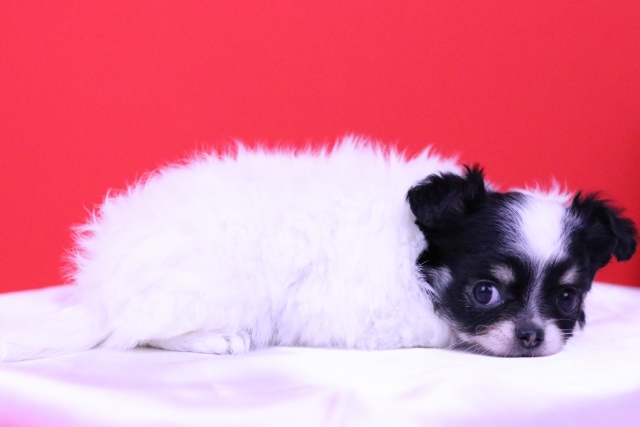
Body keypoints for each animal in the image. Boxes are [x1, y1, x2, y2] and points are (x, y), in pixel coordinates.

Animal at [0, 137, 636, 361]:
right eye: (486, 292)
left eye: (567, 298)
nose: (531, 337)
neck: (418, 257)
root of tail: (102, 292)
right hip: (217, 290)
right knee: (138, 332)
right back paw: (217, 339)